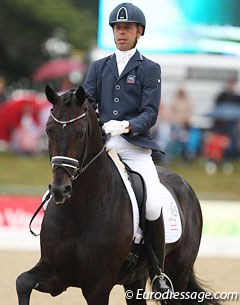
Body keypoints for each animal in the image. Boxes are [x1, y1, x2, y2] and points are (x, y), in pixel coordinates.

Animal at [15, 85, 220, 304]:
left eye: (80, 133)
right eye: (48, 130)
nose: (60, 190)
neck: (79, 208)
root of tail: (186, 186)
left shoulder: (98, 285)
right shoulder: (55, 273)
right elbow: (22, 282)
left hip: (178, 273)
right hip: (135, 279)